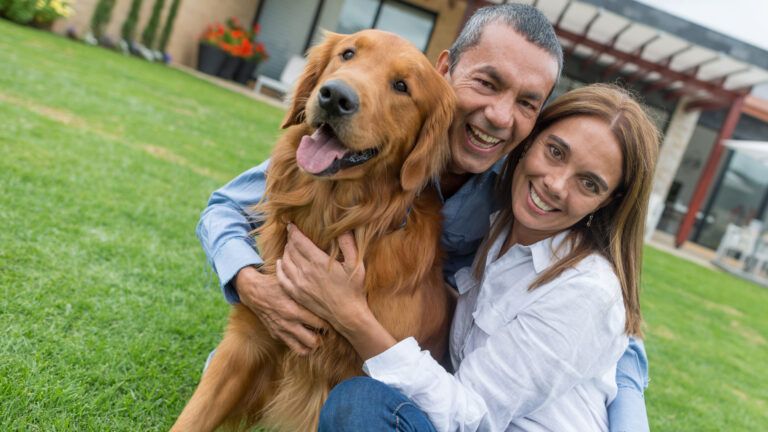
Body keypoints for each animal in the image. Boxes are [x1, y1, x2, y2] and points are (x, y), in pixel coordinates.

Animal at [171, 30, 452, 432]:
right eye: (347, 54)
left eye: (402, 86)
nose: (335, 96)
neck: (328, 222)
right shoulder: (249, 336)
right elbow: (193, 417)